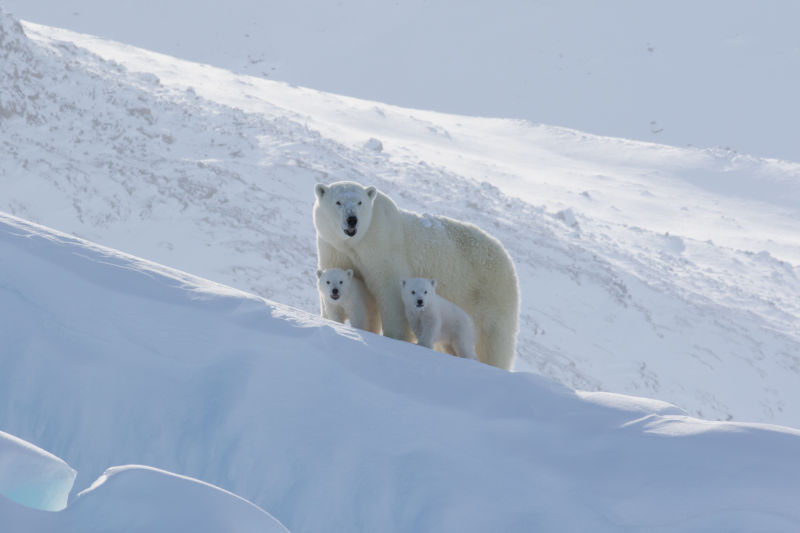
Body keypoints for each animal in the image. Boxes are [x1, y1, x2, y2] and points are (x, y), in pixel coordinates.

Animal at [312, 181, 520, 368]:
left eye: (360, 202)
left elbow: (390, 294)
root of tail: (505, 255)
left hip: (489, 291)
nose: (352, 219)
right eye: (338, 202)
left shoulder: (384, 248)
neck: (358, 241)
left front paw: (395, 338)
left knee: (493, 341)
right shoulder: (332, 247)